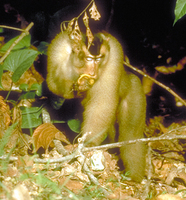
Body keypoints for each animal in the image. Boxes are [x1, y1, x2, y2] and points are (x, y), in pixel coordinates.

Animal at [45, 30, 146, 182]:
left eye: (99, 59)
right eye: (88, 59)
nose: (93, 73)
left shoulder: (114, 55)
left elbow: (102, 103)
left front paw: (89, 144)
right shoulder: (57, 48)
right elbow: (52, 84)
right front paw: (76, 85)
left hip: (135, 91)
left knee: (130, 134)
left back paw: (134, 177)